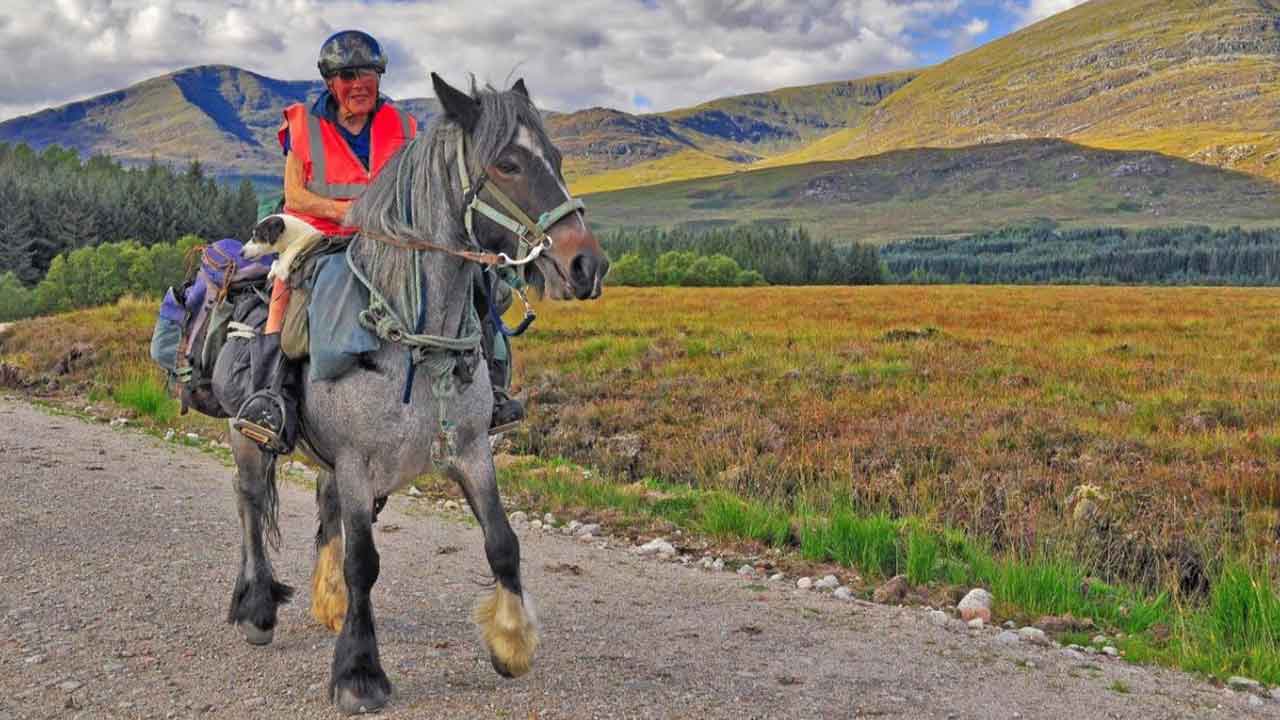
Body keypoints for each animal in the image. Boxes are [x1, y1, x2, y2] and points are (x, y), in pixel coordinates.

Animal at [221, 73, 609, 712]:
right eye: (507, 164)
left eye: (555, 158)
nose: (586, 266)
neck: (412, 336)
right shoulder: (357, 460)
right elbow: (364, 562)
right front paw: (359, 672)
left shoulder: (472, 450)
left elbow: (502, 542)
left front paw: (511, 642)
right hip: (250, 437)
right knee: (251, 504)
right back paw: (255, 608)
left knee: (323, 513)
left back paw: (328, 604)